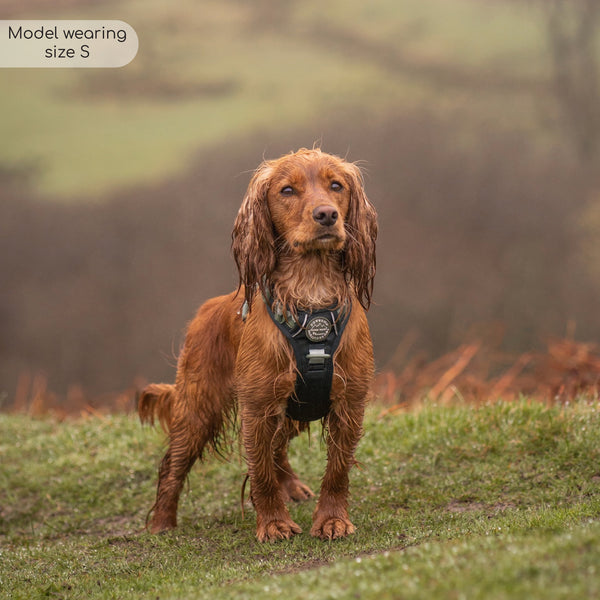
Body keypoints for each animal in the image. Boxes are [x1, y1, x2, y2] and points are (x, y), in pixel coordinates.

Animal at [138, 148, 378, 540]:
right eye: (287, 190)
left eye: (336, 185)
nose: (327, 215)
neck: (311, 294)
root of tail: (206, 310)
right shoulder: (257, 407)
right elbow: (260, 472)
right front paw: (274, 522)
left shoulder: (348, 404)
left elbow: (337, 470)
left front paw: (331, 519)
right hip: (198, 410)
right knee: (173, 466)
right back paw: (162, 522)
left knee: (279, 448)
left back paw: (292, 486)